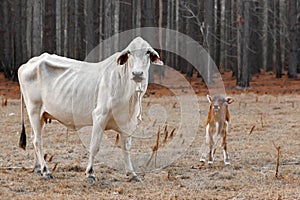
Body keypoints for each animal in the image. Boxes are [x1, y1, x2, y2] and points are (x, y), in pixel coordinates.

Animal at [17, 36, 163, 182]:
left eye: (148, 52)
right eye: (129, 53)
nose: (137, 73)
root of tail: (28, 63)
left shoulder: (128, 123)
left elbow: (126, 148)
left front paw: (132, 174)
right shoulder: (99, 116)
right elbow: (94, 146)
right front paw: (90, 173)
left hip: (40, 116)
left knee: (34, 138)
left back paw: (37, 169)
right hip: (34, 110)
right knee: (37, 141)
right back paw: (46, 170)